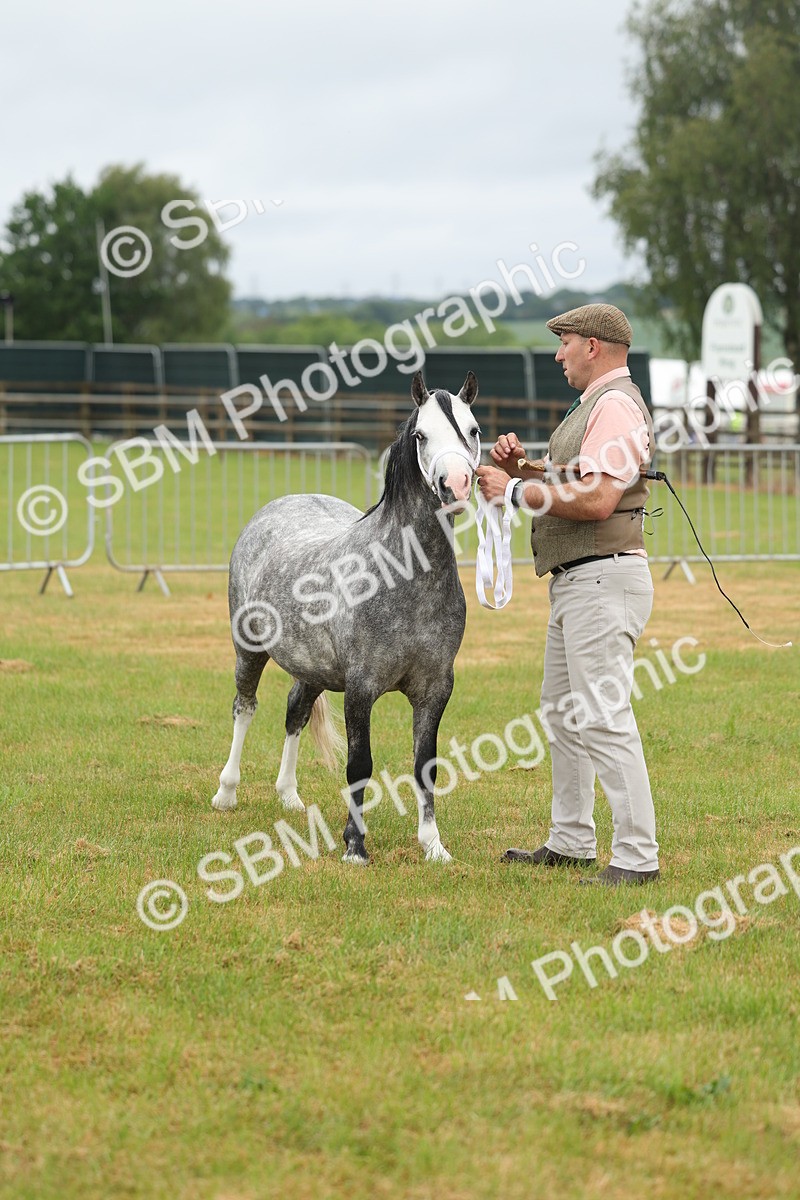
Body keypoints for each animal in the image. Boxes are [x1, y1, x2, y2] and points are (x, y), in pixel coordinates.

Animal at [211, 369, 480, 864]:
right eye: (421, 435)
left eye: (472, 429)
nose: (455, 484)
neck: (403, 577)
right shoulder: (360, 688)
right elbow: (360, 765)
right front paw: (355, 846)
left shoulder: (435, 690)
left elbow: (425, 766)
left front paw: (433, 846)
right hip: (249, 651)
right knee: (245, 708)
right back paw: (226, 792)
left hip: (312, 667)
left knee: (295, 712)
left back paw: (289, 795)